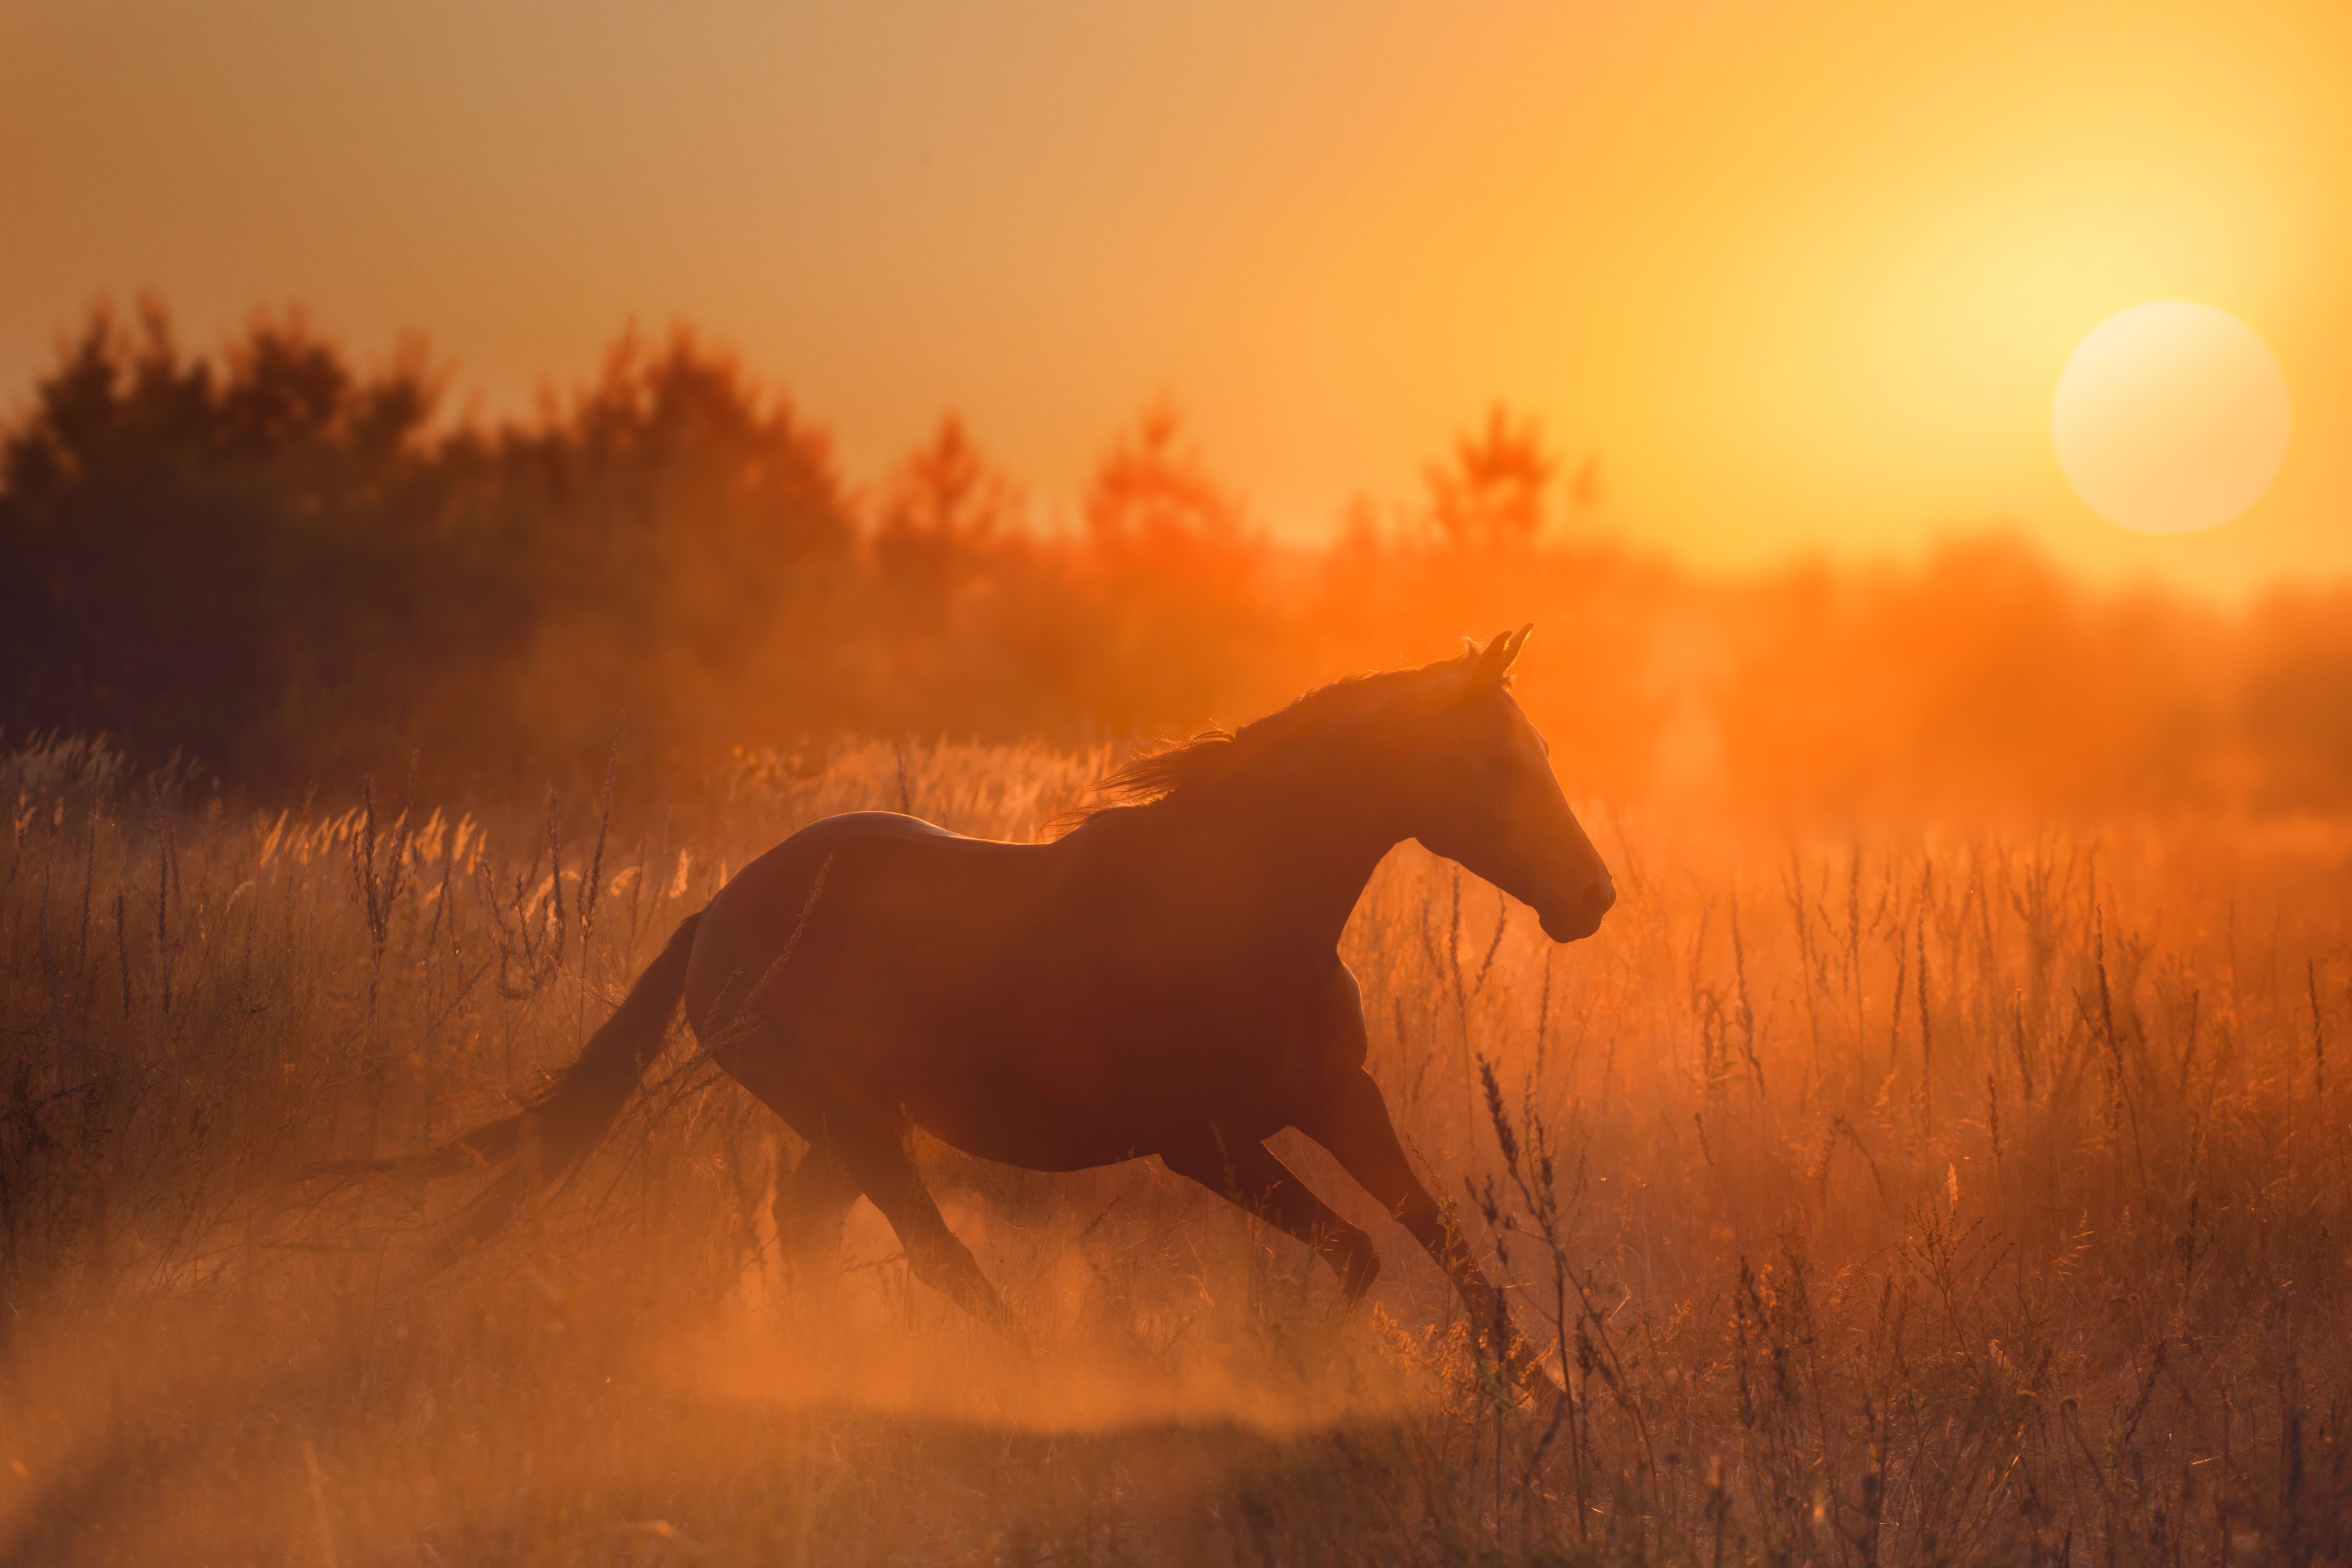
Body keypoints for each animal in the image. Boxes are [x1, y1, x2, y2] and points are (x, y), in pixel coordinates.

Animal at [353, 626, 1614, 1390]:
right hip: (852, 1121)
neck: (1247, 907)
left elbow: (1438, 1234)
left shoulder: (1339, 1100)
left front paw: (1535, 1386)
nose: (1592, 897)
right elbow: (1357, 1252)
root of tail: (715, 913)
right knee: (934, 1253)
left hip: (850, 1129)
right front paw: (1302, 1378)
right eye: (1500, 764)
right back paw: (1028, 1382)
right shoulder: (1201, 1141)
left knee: (815, 1235)